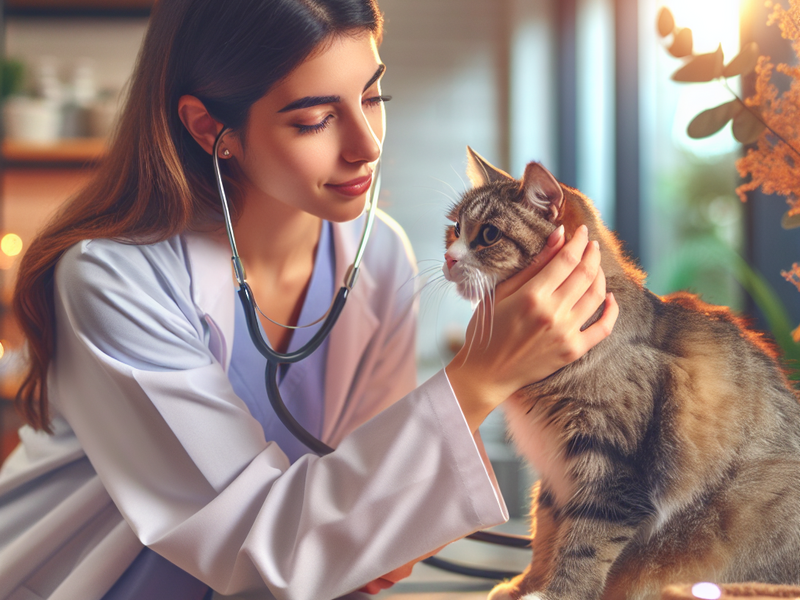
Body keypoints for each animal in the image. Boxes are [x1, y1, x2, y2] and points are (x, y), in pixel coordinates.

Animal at [440, 146, 800, 600]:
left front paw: (555, 593)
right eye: (455, 228)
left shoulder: (611, 466)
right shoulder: (555, 471)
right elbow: (547, 529)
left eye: (488, 235)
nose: (449, 257)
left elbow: (584, 542)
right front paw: (527, 583)